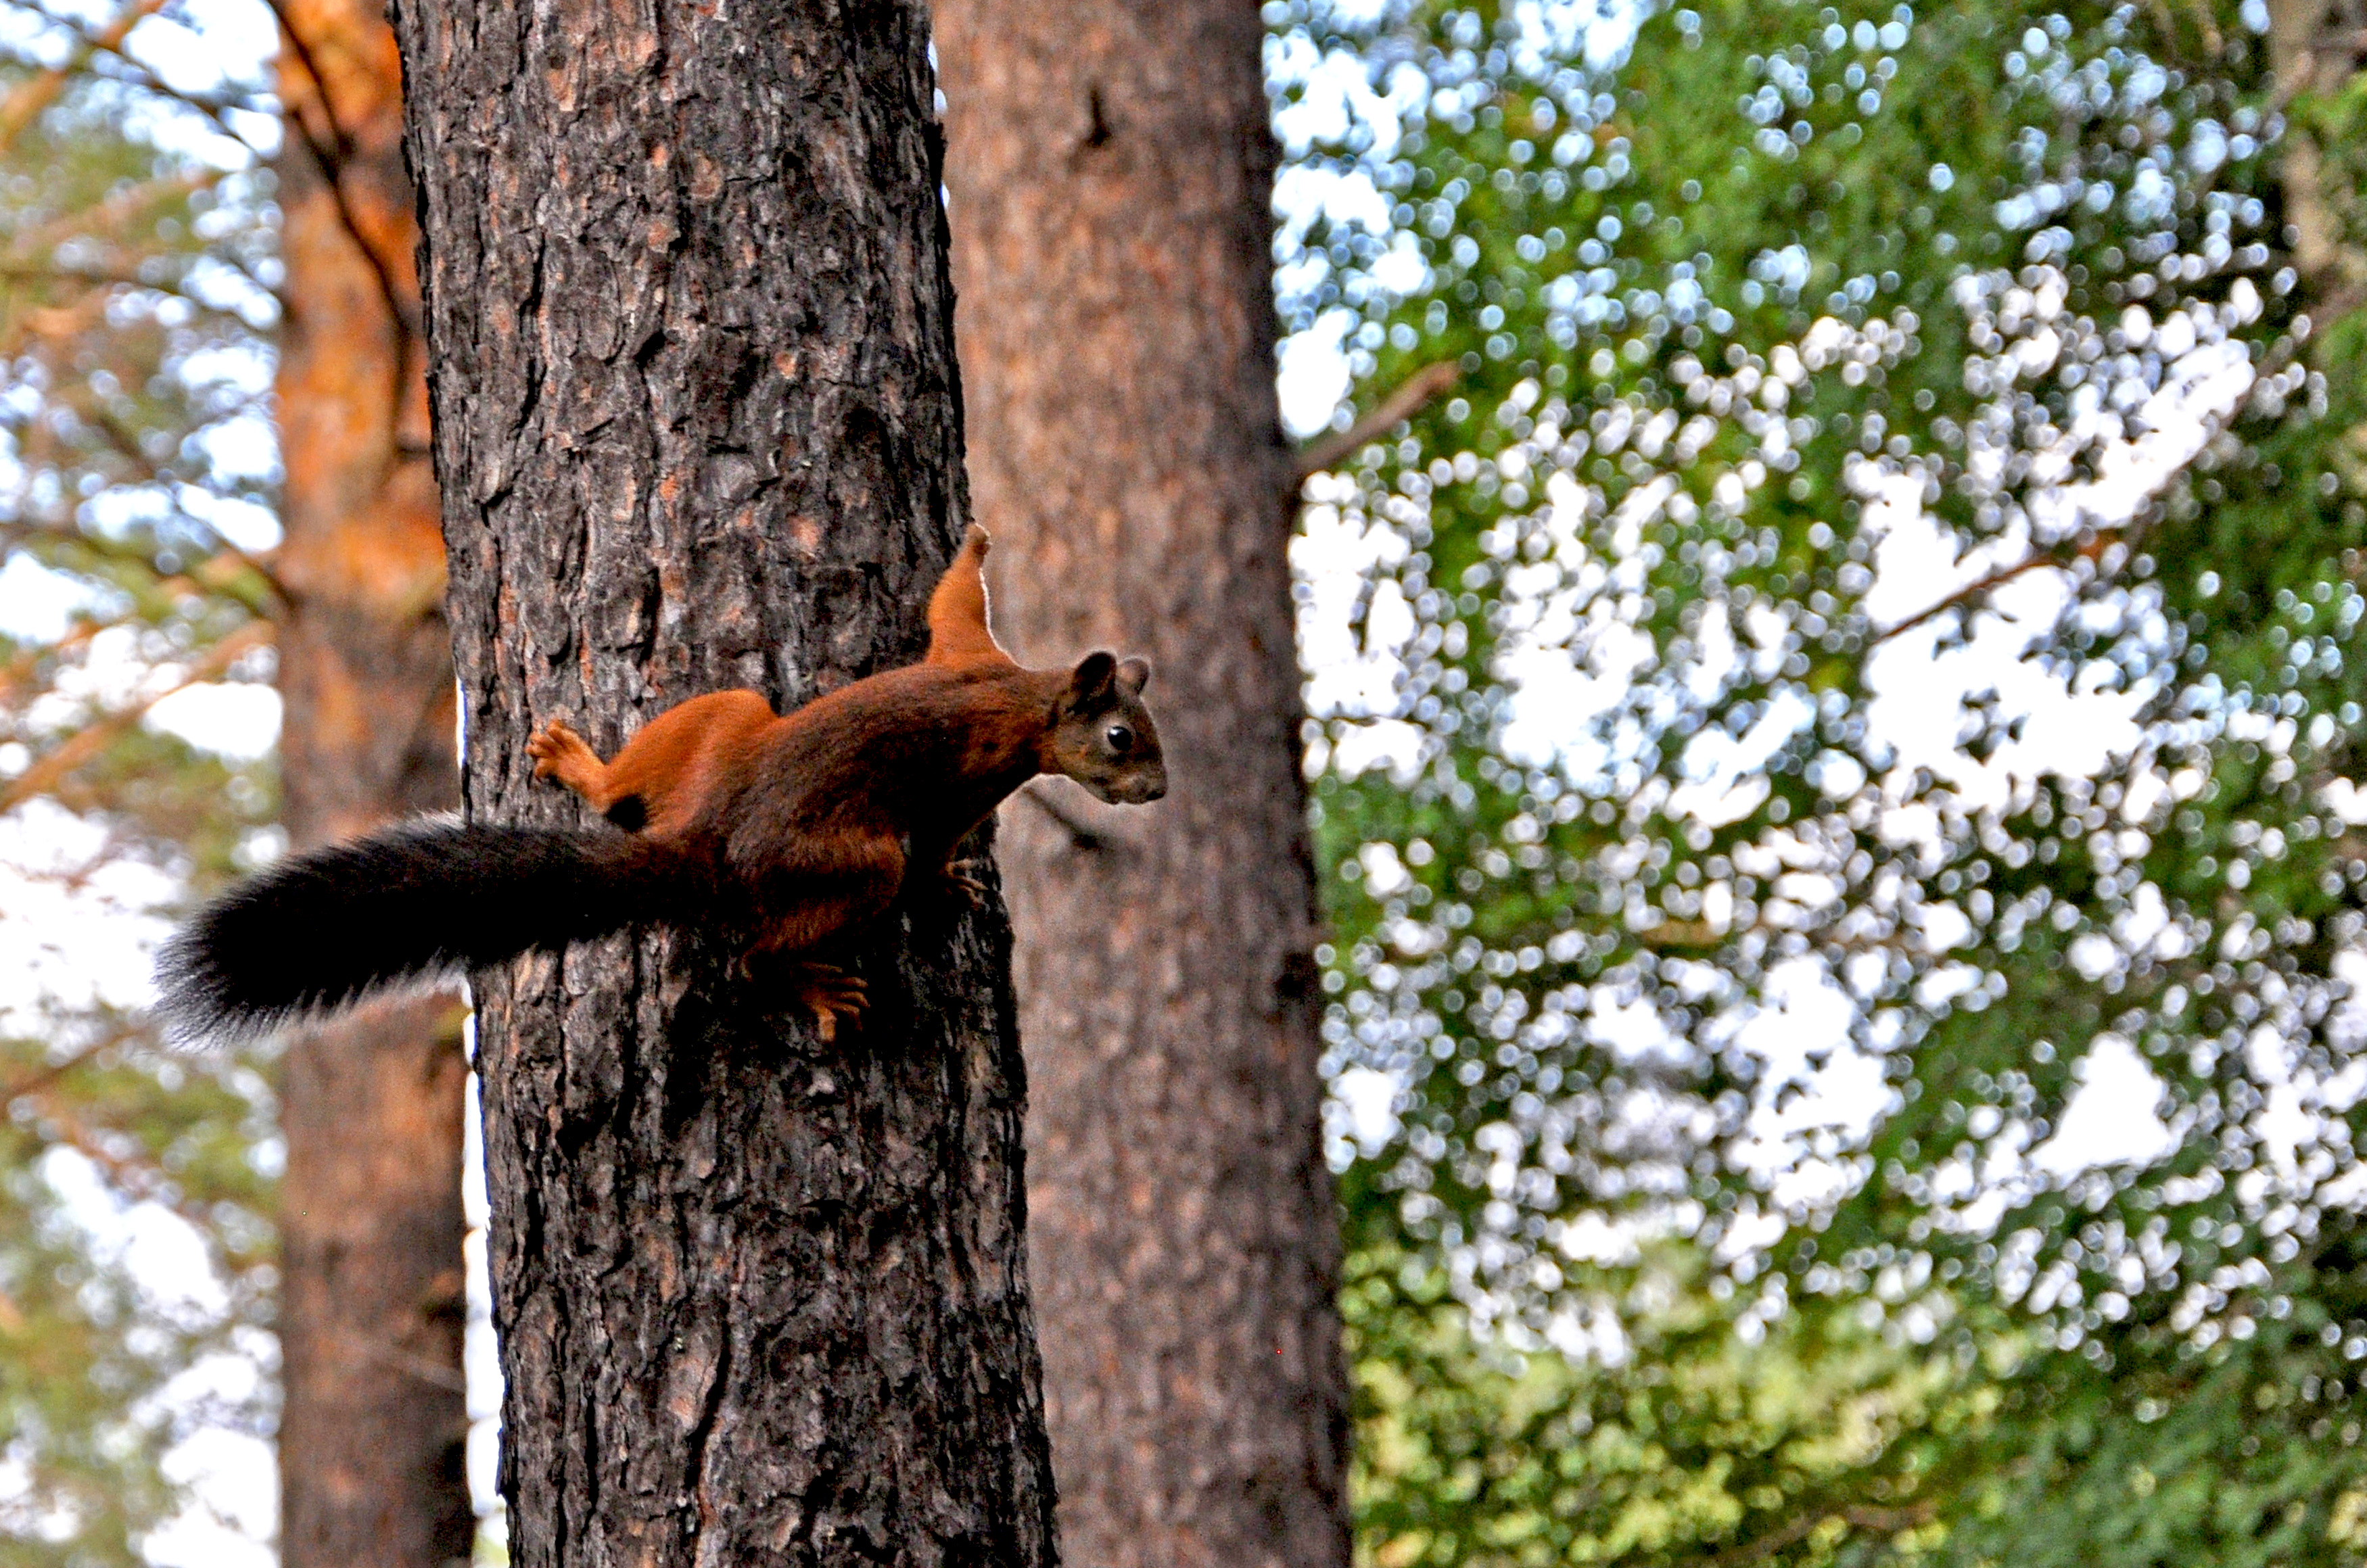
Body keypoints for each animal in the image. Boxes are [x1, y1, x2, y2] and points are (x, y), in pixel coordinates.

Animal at [152, 520, 1169, 1049]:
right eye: (1121, 737)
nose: (1158, 792)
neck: (1022, 695)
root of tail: (708, 842)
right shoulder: (977, 762)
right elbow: (939, 830)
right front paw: (951, 879)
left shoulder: (966, 653)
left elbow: (948, 602)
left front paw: (973, 544)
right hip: (846, 862)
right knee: (758, 950)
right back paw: (811, 988)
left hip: (723, 723)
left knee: (620, 800)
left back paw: (578, 764)